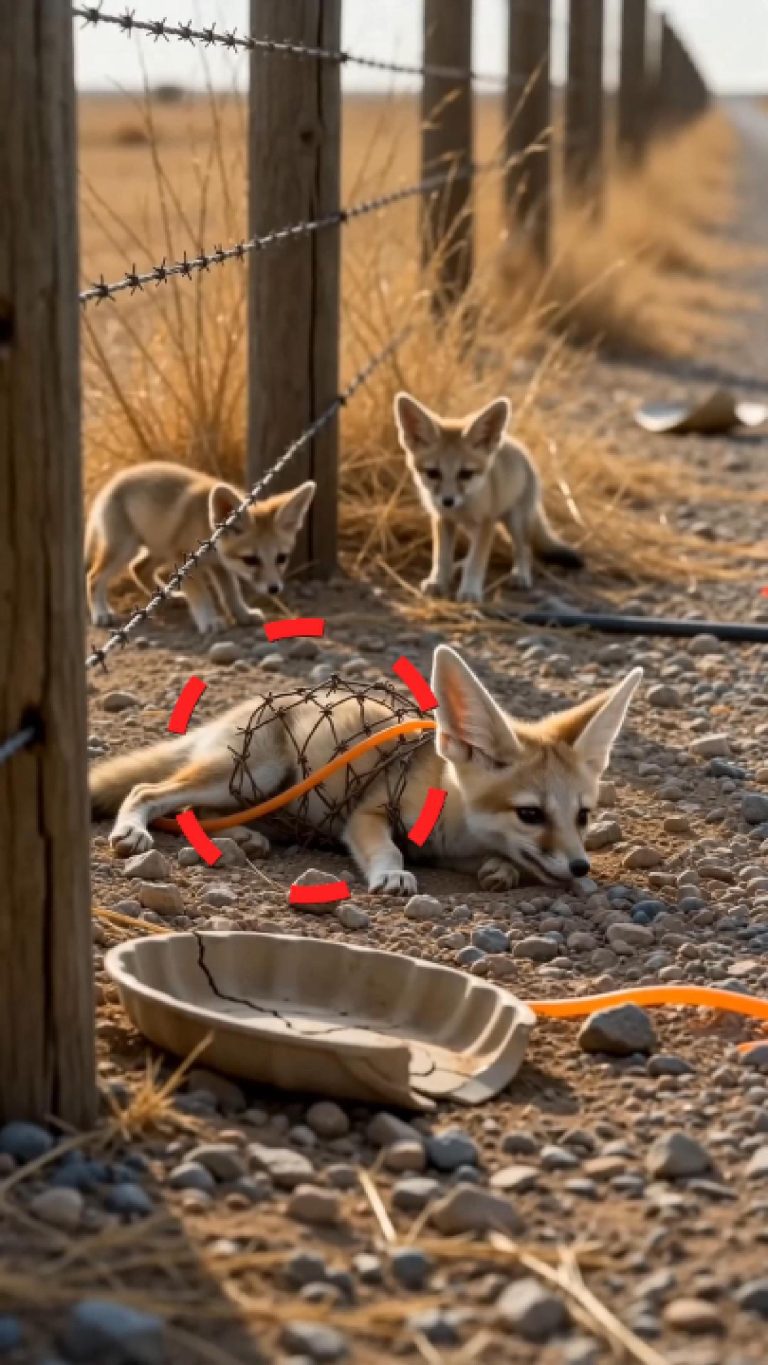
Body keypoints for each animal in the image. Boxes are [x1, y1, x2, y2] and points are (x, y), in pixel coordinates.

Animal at [85, 461, 316, 635]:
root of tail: (113, 481)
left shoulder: (219, 565)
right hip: (126, 549)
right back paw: (101, 613)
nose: (274, 589)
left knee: (138, 569)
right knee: (94, 577)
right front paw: (209, 620)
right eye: (251, 560)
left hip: (161, 549)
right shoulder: (187, 561)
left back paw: (169, 597)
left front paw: (243, 614)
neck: (206, 527)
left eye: (281, 558)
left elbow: (232, 592)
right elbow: (202, 594)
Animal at [90, 645, 642, 896]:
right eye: (530, 814)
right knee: (148, 790)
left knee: (194, 811)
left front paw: (501, 869)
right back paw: (134, 830)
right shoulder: (368, 814)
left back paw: (243, 838)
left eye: (583, 816)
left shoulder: (453, 849)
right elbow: (387, 847)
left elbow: (502, 861)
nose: (581, 868)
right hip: (250, 775)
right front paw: (392, 874)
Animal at [394, 391, 584, 603]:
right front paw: (438, 582)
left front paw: (470, 590)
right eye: (433, 473)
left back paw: (520, 574)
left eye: (465, 473)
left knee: (524, 549)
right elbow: (441, 557)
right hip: (473, 527)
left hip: (515, 522)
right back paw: (459, 566)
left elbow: (477, 561)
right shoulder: (443, 519)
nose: (448, 501)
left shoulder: (486, 522)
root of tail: (519, 448)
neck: (462, 509)